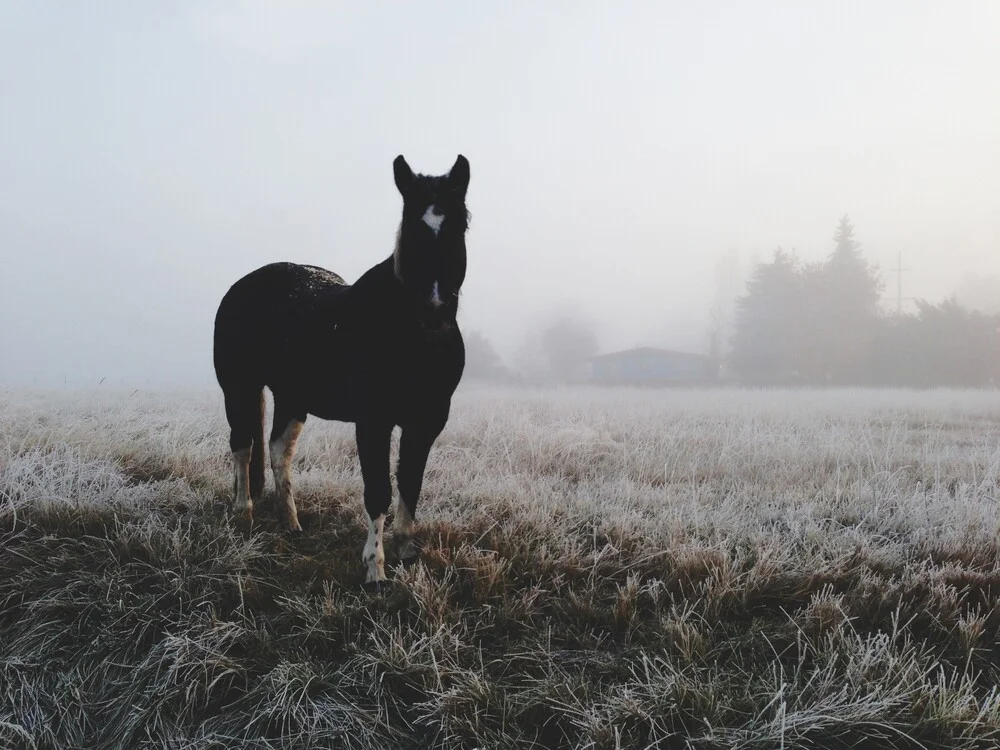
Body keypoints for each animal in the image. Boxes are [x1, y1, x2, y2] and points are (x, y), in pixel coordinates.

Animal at [213, 154, 470, 588]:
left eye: (460, 224)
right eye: (411, 226)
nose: (434, 310)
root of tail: (240, 286)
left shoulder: (428, 420)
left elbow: (411, 482)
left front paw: (405, 551)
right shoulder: (373, 421)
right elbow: (378, 490)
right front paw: (375, 569)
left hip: (292, 397)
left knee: (278, 451)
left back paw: (291, 522)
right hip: (239, 387)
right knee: (242, 445)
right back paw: (243, 513)